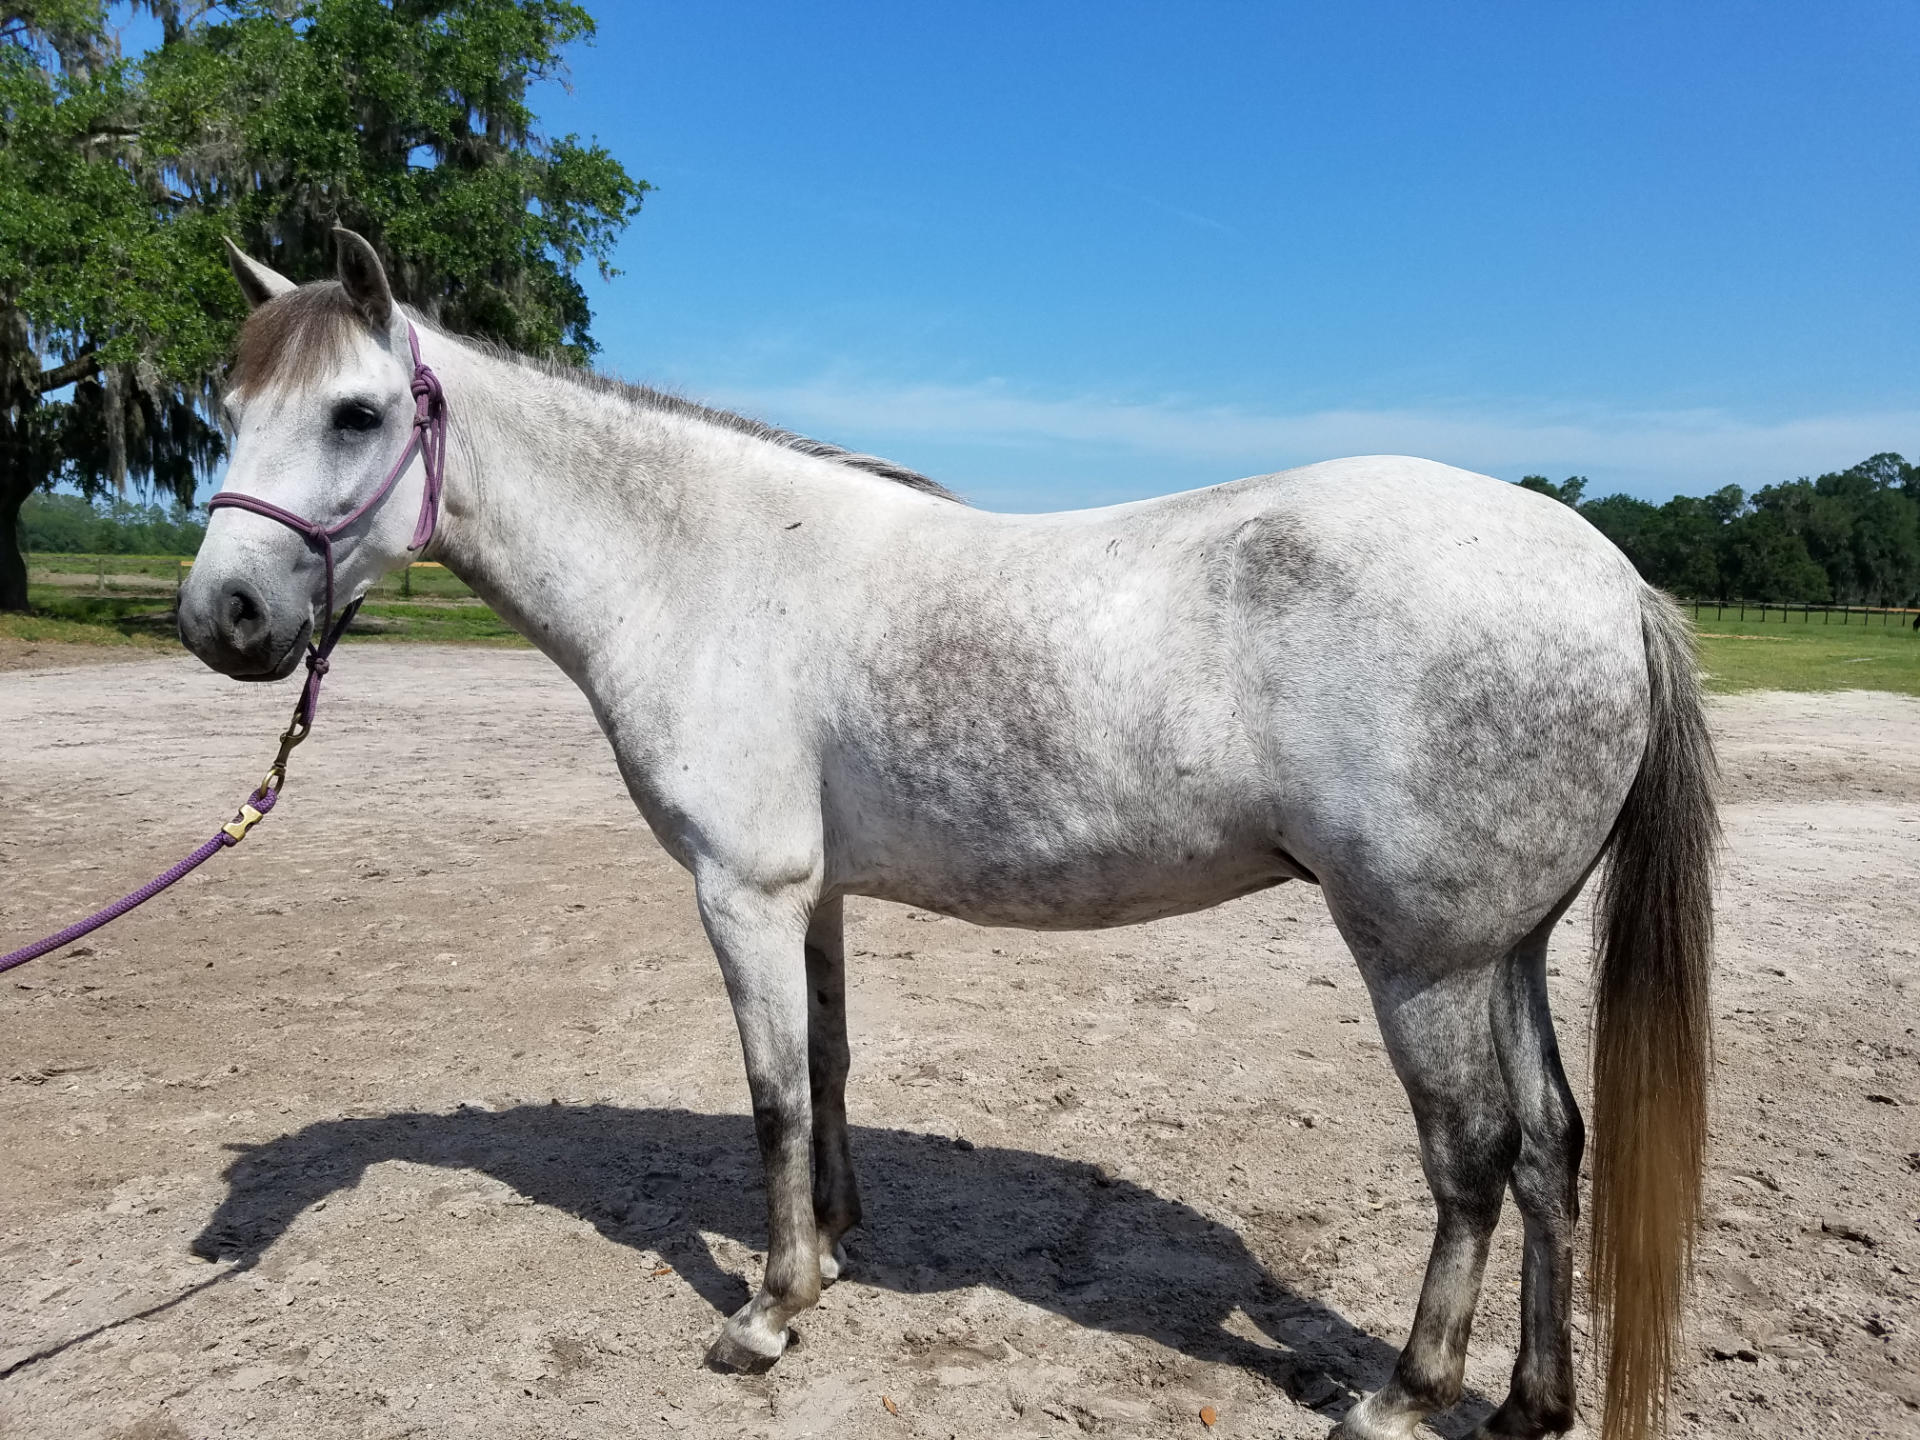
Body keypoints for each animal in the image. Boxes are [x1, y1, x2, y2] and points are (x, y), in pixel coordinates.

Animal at [178, 230, 1715, 1440]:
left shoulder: (741, 892)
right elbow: (831, 1066)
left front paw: (767, 1315)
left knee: (1471, 1158)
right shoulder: (814, 896)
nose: (223, 619)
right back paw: (1528, 1405)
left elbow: (773, 1094)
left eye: (356, 414)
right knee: (1550, 1145)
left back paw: (1402, 1397)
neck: (704, 566)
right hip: (1509, 949)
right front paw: (834, 1252)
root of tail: (1612, 580)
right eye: (231, 405)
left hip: (1421, 959)